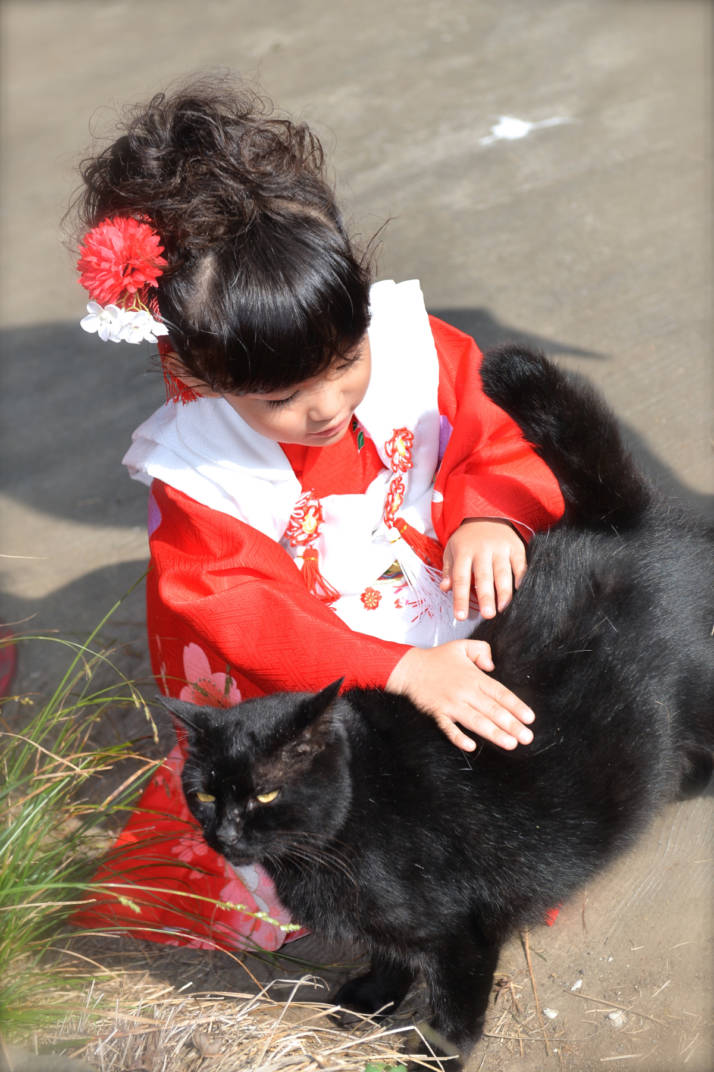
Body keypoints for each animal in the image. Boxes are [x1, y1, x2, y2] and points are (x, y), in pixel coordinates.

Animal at [160, 347, 711, 1067]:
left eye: (266, 795)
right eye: (202, 793)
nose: (223, 834)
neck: (340, 835)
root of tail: (617, 522)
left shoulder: (463, 933)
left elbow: (452, 1006)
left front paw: (431, 1053)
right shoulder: (392, 926)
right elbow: (389, 953)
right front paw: (371, 994)